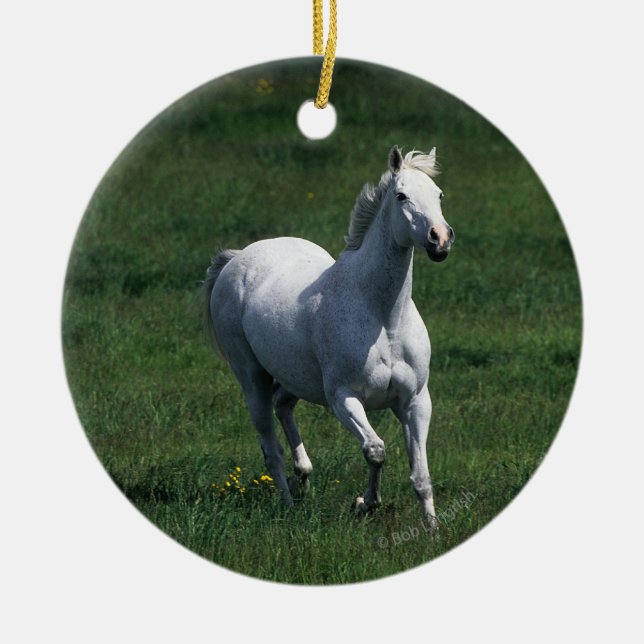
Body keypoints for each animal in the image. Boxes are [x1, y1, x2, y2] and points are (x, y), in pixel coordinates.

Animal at [202, 146, 454, 528]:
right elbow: (375, 450)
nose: (440, 239)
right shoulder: (343, 398)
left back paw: (303, 479)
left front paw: (432, 529)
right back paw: (288, 503)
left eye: (439, 195)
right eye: (401, 196)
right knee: (270, 446)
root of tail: (236, 258)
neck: (383, 318)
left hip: (294, 377)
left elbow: (421, 475)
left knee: (283, 407)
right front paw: (366, 503)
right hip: (251, 377)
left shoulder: (415, 401)